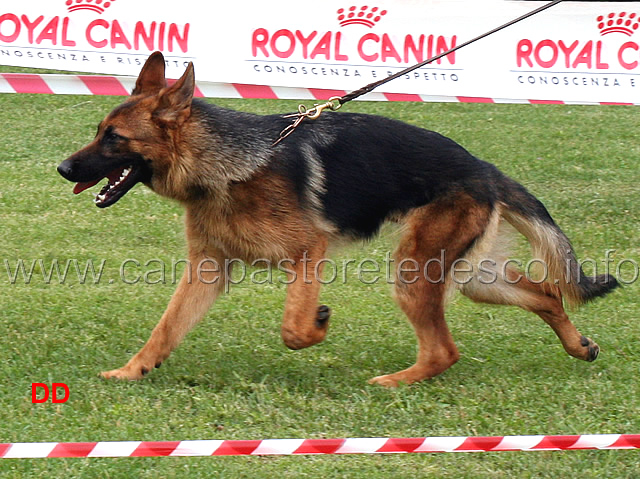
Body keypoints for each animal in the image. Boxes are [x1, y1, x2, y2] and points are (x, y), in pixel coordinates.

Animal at [57, 51, 616, 386]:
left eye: (114, 139)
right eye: (97, 130)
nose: (62, 169)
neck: (228, 165)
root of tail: (486, 169)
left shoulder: (308, 252)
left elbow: (292, 327)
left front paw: (318, 326)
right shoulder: (207, 270)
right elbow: (166, 328)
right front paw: (132, 371)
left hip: (415, 270)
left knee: (445, 350)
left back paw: (395, 382)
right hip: (473, 275)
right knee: (546, 294)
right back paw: (578, 346)